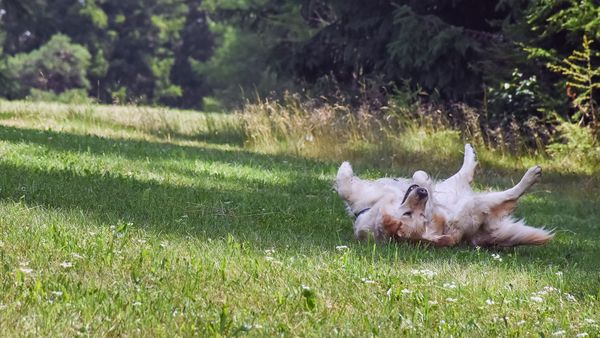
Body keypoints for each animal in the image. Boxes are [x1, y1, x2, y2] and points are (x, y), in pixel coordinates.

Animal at [336, 144, 556, 247]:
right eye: (409, 215)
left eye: (421, 215)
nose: (422, 193)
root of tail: (477, 237)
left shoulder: (362, 202)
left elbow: (343, 186)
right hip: (474, 203)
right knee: (509, 193)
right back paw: (531, 175)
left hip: (456, 192)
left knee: (462, 175)